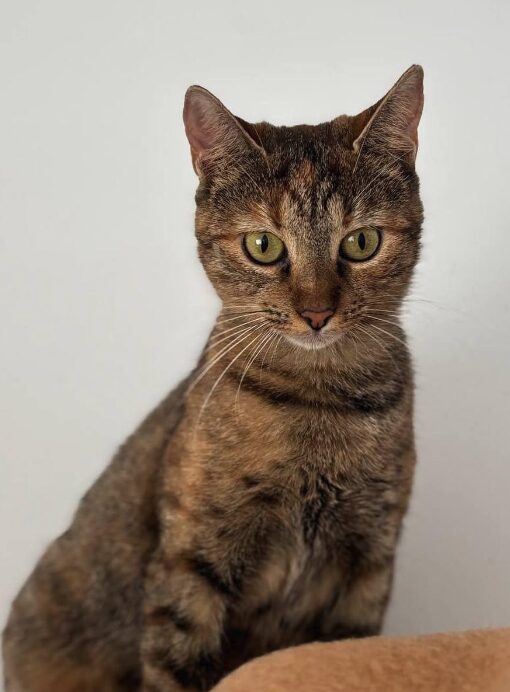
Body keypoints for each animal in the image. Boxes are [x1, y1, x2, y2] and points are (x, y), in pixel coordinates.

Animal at [3, 66, 424, 692]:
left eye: (361, 242)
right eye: (263, 246)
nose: (317, 313)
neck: (320, 404)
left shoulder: (369, 561)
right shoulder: (192, 558)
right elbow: (177, 661)